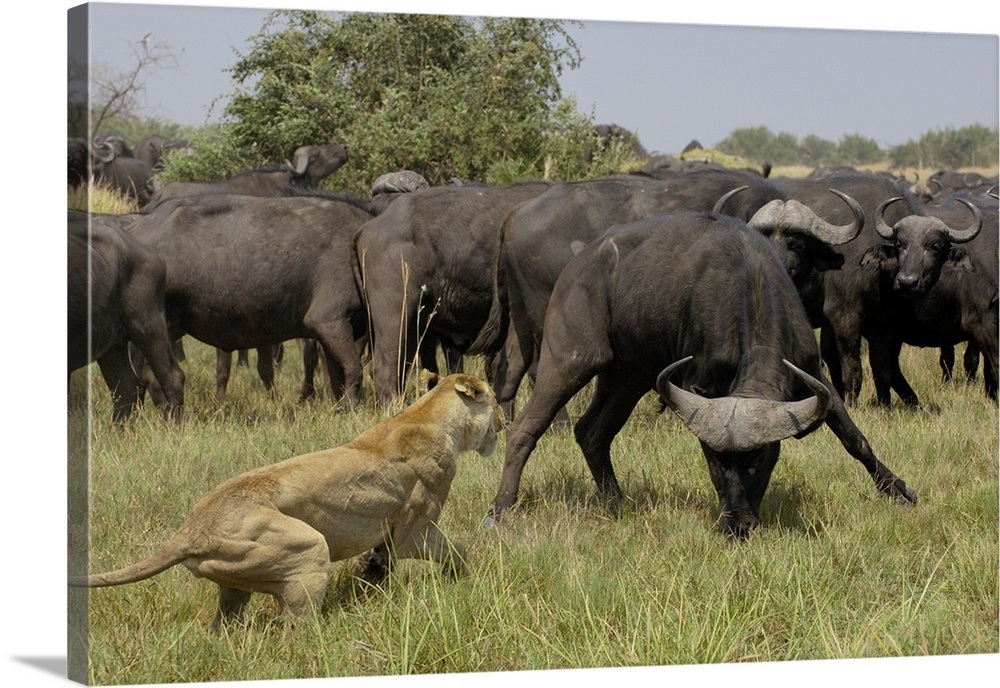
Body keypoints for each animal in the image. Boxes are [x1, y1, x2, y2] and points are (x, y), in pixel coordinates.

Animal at [488, 211, 916, 536]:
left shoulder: (813, 375)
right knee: (525, 428)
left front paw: (899, 490)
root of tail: (576, 265)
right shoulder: (700, 383)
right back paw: (500, 508)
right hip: (568, 359)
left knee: (592, 433)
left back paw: (616, 501)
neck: (750, 284)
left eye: (760, 458)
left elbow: (854, 437)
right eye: (715, 460)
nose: (738, 525)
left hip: (626, 378)